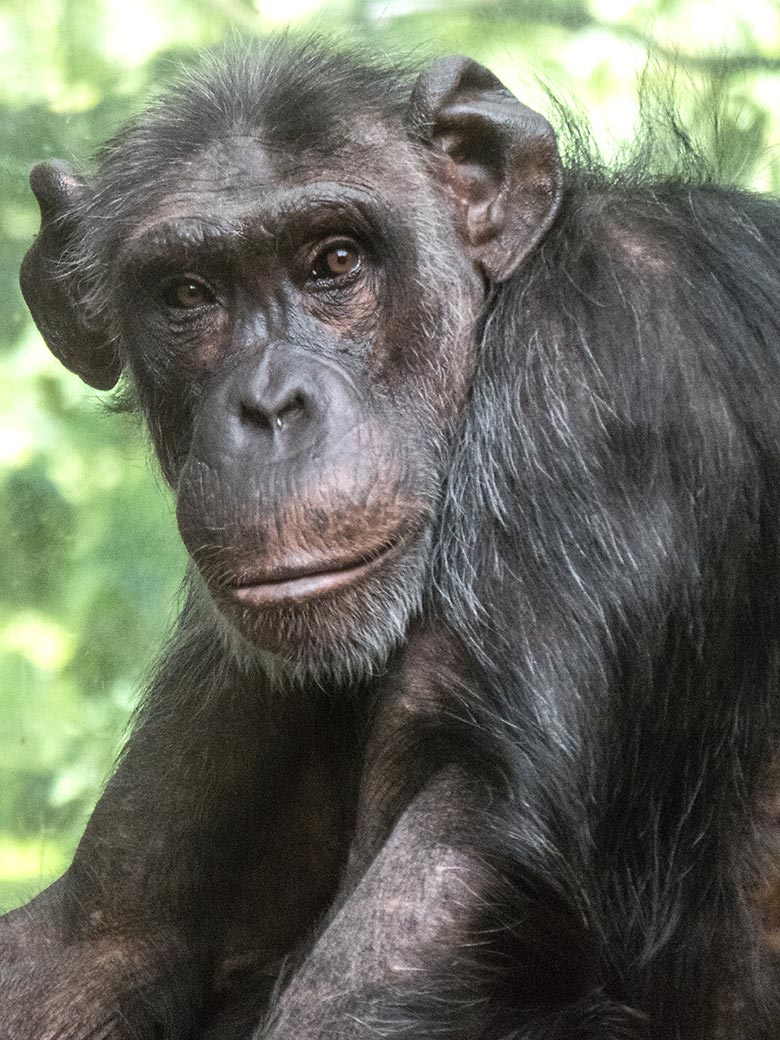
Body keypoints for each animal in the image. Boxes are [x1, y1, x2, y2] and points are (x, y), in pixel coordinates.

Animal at [1, 34, 780, 1040]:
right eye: (187, 293)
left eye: (335, 259)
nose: (269, 405)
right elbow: (102, 932)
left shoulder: (615, 372)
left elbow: (450, 859)